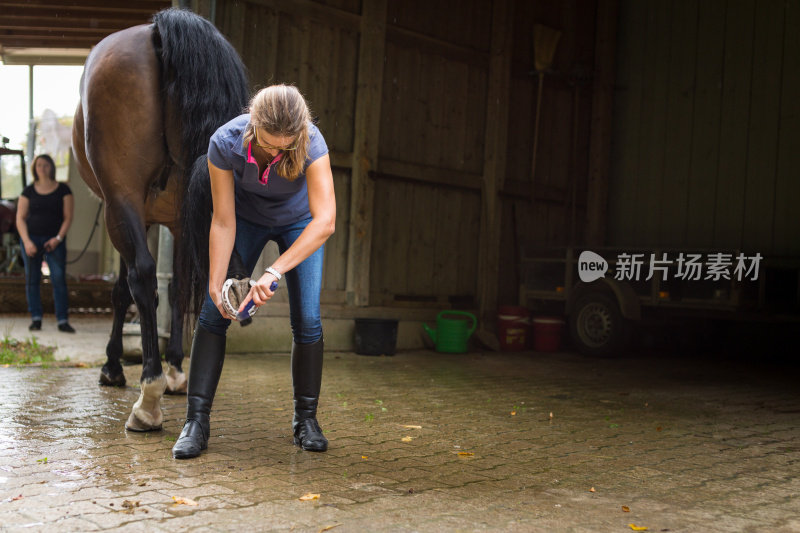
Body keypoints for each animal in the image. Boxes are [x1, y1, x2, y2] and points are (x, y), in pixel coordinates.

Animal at [71, 8, 248, 430]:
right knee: (188, 282)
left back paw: (147, 399)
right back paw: (169, 378)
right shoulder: (177, 222)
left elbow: (124, 290)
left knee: (143, 275)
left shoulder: (126, 212)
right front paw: (176, 370)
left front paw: (113, 366)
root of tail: (157, 30)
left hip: (121, 200)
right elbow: (178, 288)